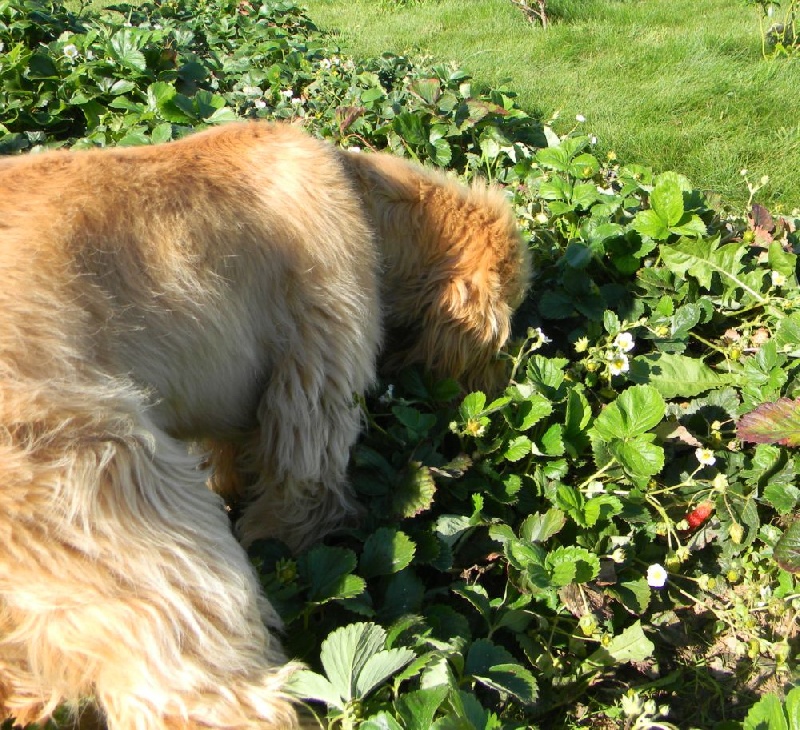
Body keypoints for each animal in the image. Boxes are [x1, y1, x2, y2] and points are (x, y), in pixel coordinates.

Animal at [0, 122, 532, 724]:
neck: (363, 195)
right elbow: (302, 488)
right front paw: (284, 545)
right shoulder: (319, 358)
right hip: (112, 490)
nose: (503, 387)